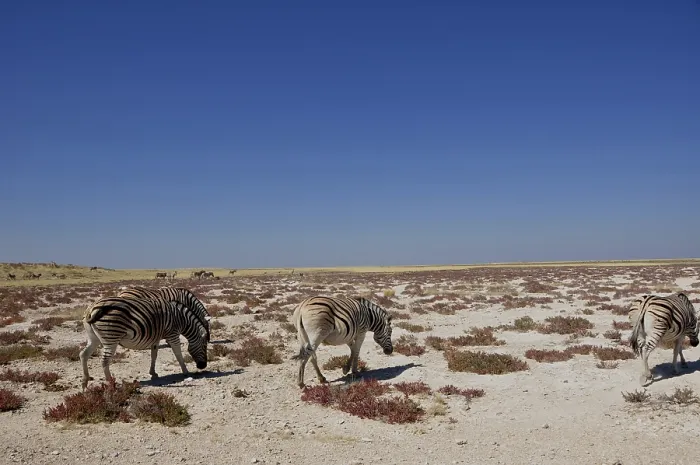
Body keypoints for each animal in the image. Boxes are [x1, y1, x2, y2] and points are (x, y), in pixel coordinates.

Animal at [79, 296, 210, 390]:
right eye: (205, 346)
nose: (203, 366)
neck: (182, 318)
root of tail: (93, 308)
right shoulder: (173, 334)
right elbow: (178, 354)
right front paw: (186, 372)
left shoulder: (156, 337)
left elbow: (154, 355)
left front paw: (153, 373)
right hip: (111, 337)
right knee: (104, 361)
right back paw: (112, 385)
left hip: (94, 338)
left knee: (83, 354)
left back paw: (85, 383)